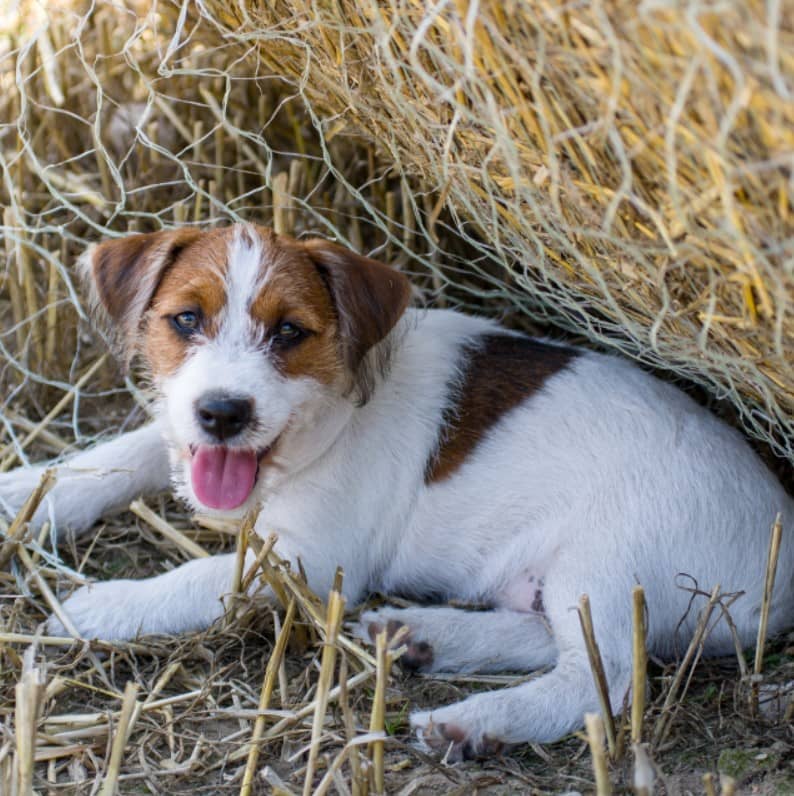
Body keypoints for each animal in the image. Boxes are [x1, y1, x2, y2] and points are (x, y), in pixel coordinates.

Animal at [1, 224, 792, 760]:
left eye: (290, 332)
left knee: (603, 681)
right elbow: (123, 453)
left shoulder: (306, 560)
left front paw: (104, 605)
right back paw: (416, 637)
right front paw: (24, 491)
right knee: (545, 638)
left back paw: (474, 721)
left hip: (606, 561)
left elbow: (197, 578)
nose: (223, 413)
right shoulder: (183, 436)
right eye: (186, 320)